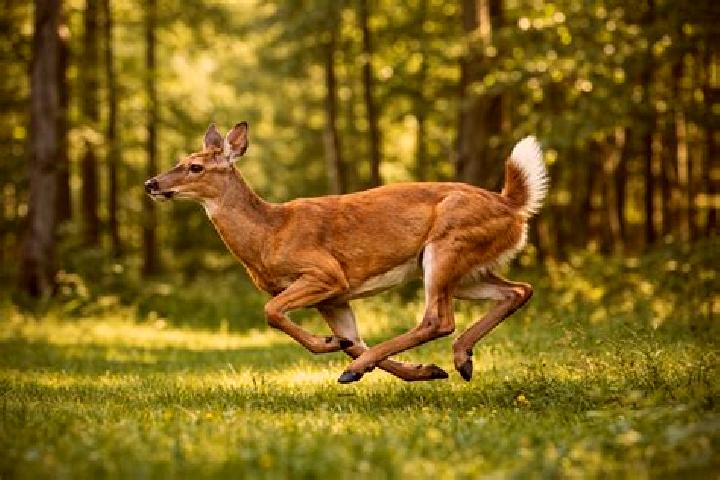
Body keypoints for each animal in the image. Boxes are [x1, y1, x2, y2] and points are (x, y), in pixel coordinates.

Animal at [145, 122, 548, 384]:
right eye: (180, 160)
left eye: (195, 166)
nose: (151, 183)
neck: (269, 235)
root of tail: (511, 204)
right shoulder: (334, 298)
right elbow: (352, 341)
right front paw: (421, 372)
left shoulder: (325, 273)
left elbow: (272, 311)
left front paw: (333, 347)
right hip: (466, 270)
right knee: (518, 290)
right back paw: (459, 360)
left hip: (447, 246)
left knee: (438, 318)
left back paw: (367, 368)